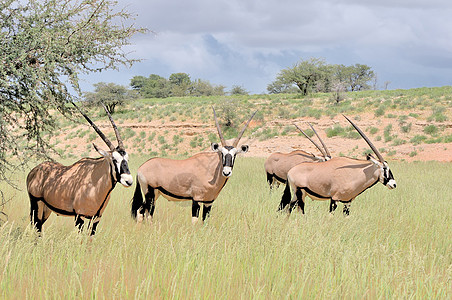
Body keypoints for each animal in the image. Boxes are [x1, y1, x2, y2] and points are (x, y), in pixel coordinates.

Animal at [26, 104, 133, 236]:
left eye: (127, 159)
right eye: (114, 159)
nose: (129, 181)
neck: (95, 182)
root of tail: (33, 171)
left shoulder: (96, 218)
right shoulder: (79, 216)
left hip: (46, 209)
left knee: (39, 226)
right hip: (36, 203)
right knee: (36, 226)